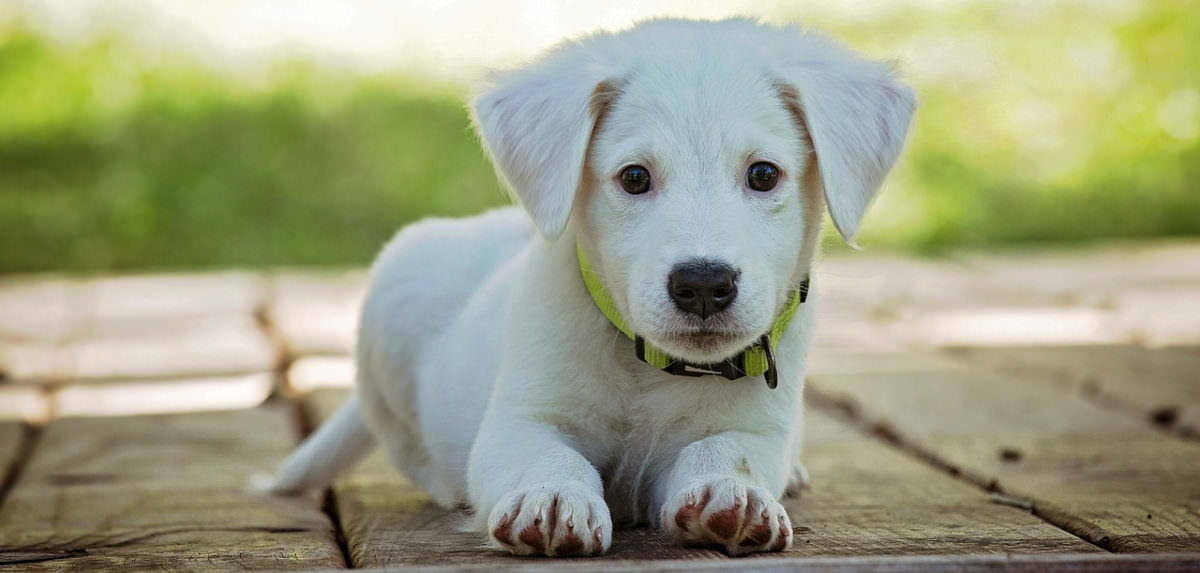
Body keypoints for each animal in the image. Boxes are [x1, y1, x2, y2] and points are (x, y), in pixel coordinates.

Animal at [270, 16, 907, 556]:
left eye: (764, 174)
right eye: (635, 177)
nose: (704, 284)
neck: (650, 367)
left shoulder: (755, 428)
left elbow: (724, 449)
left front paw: (732, 493)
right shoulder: (520, 421)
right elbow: (549, 456)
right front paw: (554, 498)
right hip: (394, 301)